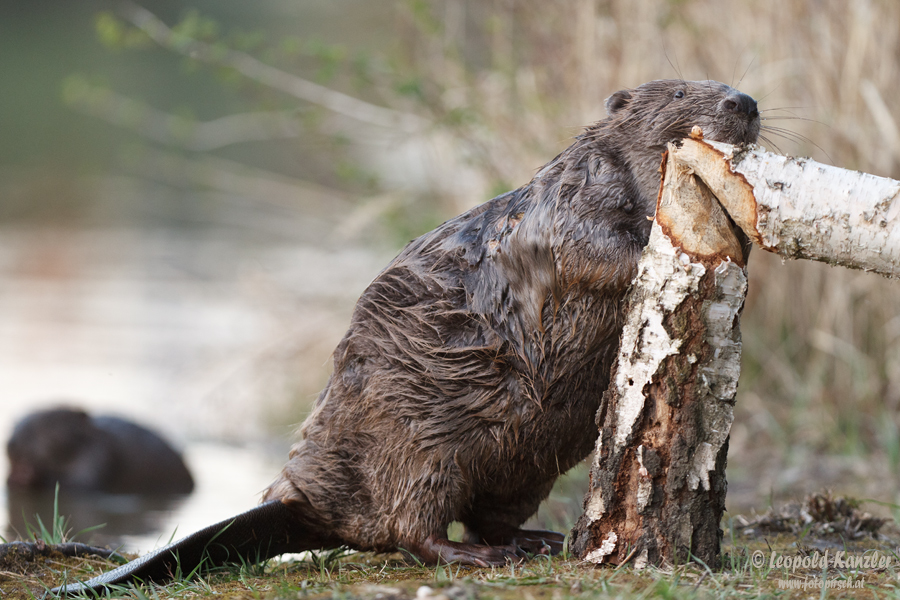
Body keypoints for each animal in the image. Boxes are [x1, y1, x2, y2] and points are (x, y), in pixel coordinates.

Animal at [7, 406, 193, 494]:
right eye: (15, 426)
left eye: (42, 425)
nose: (11, 444)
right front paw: (15, 476)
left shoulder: (100, 455)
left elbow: (81, 484)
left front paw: (27, 476)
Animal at [54, 79, 760, 596]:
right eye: (679, 90)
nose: (744, 102)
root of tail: (298, 498)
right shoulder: (571, 197)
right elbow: (591, 248)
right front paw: (658, 242)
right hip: (418, 441)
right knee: (413, 529)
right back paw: (482, 558)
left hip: (522, 465)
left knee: (485, 515)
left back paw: (540, 542)